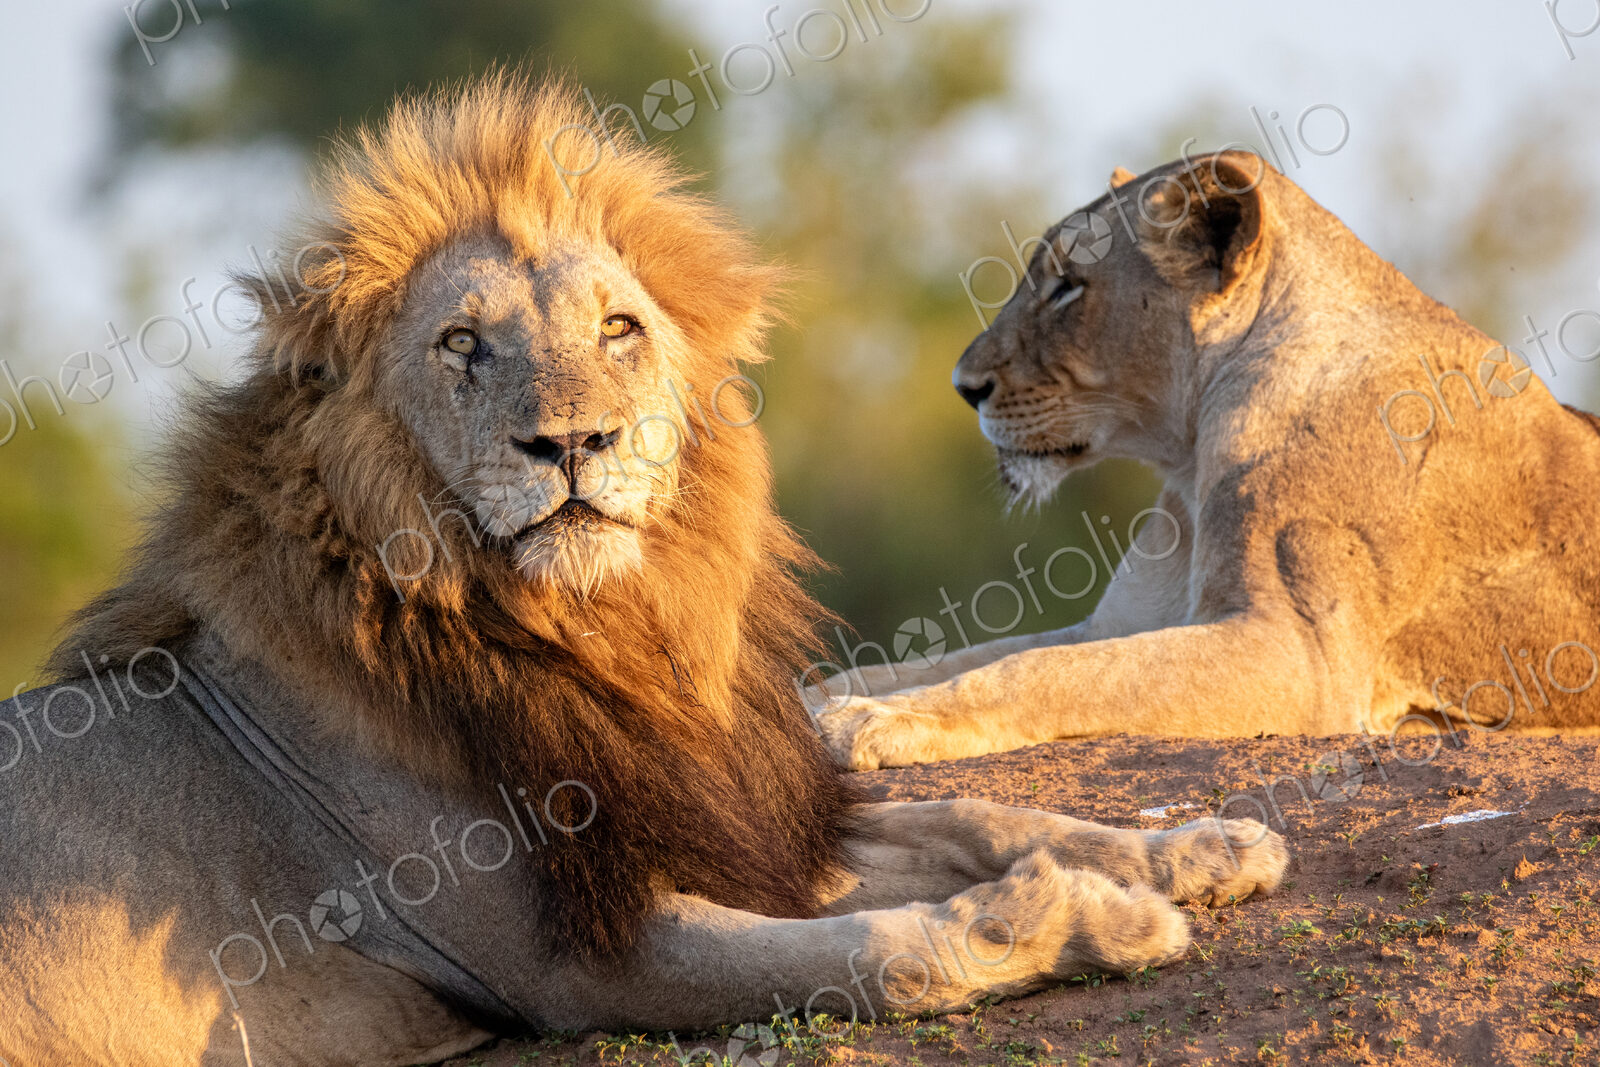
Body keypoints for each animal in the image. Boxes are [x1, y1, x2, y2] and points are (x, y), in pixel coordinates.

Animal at [0, 81, 1287, 1065]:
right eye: (460, 344)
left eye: (617, 328)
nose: (572, 441)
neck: (604, 633)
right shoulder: (581, 960)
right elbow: (882, 948)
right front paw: (1090, 914)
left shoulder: (732, 824)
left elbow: (977, 813)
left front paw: (1200, 848)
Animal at [812, 151, 1600, 771]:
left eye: (1068, 285)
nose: (963, 386)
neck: (1188, 460)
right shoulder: (1113, 623)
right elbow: (965, 658)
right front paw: (822, 695)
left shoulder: (1300, 656)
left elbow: (1046, 673)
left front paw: (879, 719)